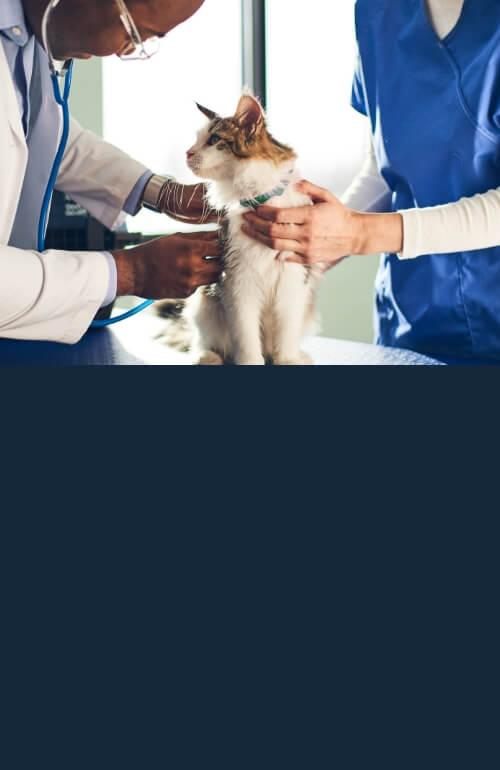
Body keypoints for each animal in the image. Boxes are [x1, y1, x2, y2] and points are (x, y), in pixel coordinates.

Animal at [166, 91, 320, 364]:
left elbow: (286, 336)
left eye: (214, 139)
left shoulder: (292, 280)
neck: (259, 199)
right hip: (204, 304)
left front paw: (288, 359)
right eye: (197, 140)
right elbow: (247, 338)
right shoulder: (238, 282)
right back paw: (207, 357)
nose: (187, 153)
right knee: (205, 342)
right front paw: (250, 361)